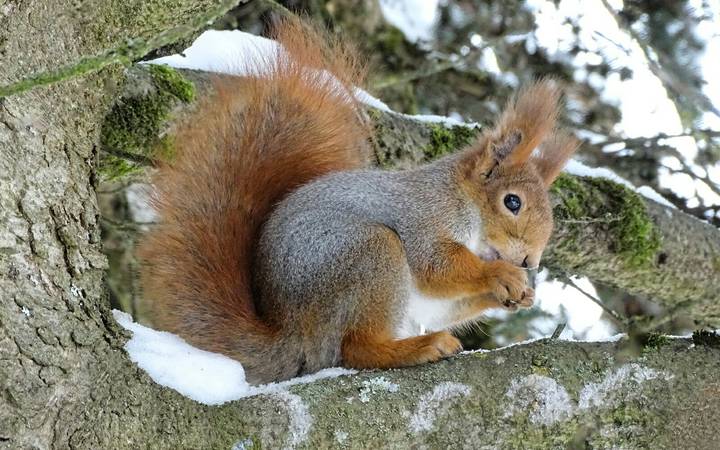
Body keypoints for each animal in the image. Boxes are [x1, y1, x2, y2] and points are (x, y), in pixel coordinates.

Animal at [137, 18, 579, 384]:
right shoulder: (423, 216)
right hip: (368, 255)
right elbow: (435, 265)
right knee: (354, 349)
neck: (465, 207)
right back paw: (418, 348)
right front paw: (502, 275)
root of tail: (294, 336)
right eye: (512, 203)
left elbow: (443, 305)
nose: (530, 262)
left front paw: (520, 294)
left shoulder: (433, 301)